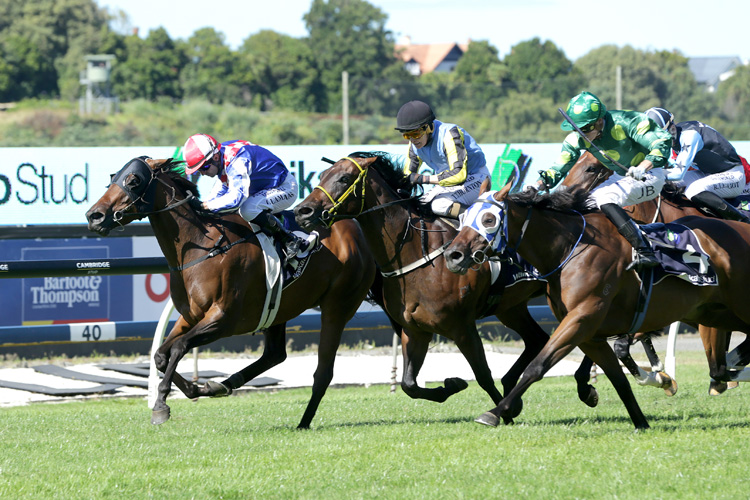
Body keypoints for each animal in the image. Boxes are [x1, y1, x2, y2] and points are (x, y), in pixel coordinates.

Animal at [86, 155, 376, 426]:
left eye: (134, 180)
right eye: (114, 176)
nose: (94, 215)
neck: (204, 246)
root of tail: (357, 230)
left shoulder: (224, 319)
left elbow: (178, 348)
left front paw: (161, 405)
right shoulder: (190, 316)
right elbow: (160, 355)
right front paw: (193, 388)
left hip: (337, 306)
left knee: (322, 369)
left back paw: (303, 420)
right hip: (279, 309)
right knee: (275, 354)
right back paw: (222, 385)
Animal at [296, 152, 552, 418]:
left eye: (344, 178)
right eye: (322, 176)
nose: (302, 212)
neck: (420, 255)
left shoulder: (462, 327)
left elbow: (483, 375)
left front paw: (502, 412)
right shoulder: (414, 329)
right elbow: (408, 384)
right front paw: (452, 386)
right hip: (510, 308)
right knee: (537, 339)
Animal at [446, 184, 750, 430]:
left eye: (488, 219)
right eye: (462, 217)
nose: (453, 255)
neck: (571, 248)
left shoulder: (582, 318)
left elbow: (537, 366)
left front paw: (496, 412)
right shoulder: (589, 333)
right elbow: (618, 378)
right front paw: (641, 421)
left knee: (724, 363)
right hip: (715, 312)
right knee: (721, 364)